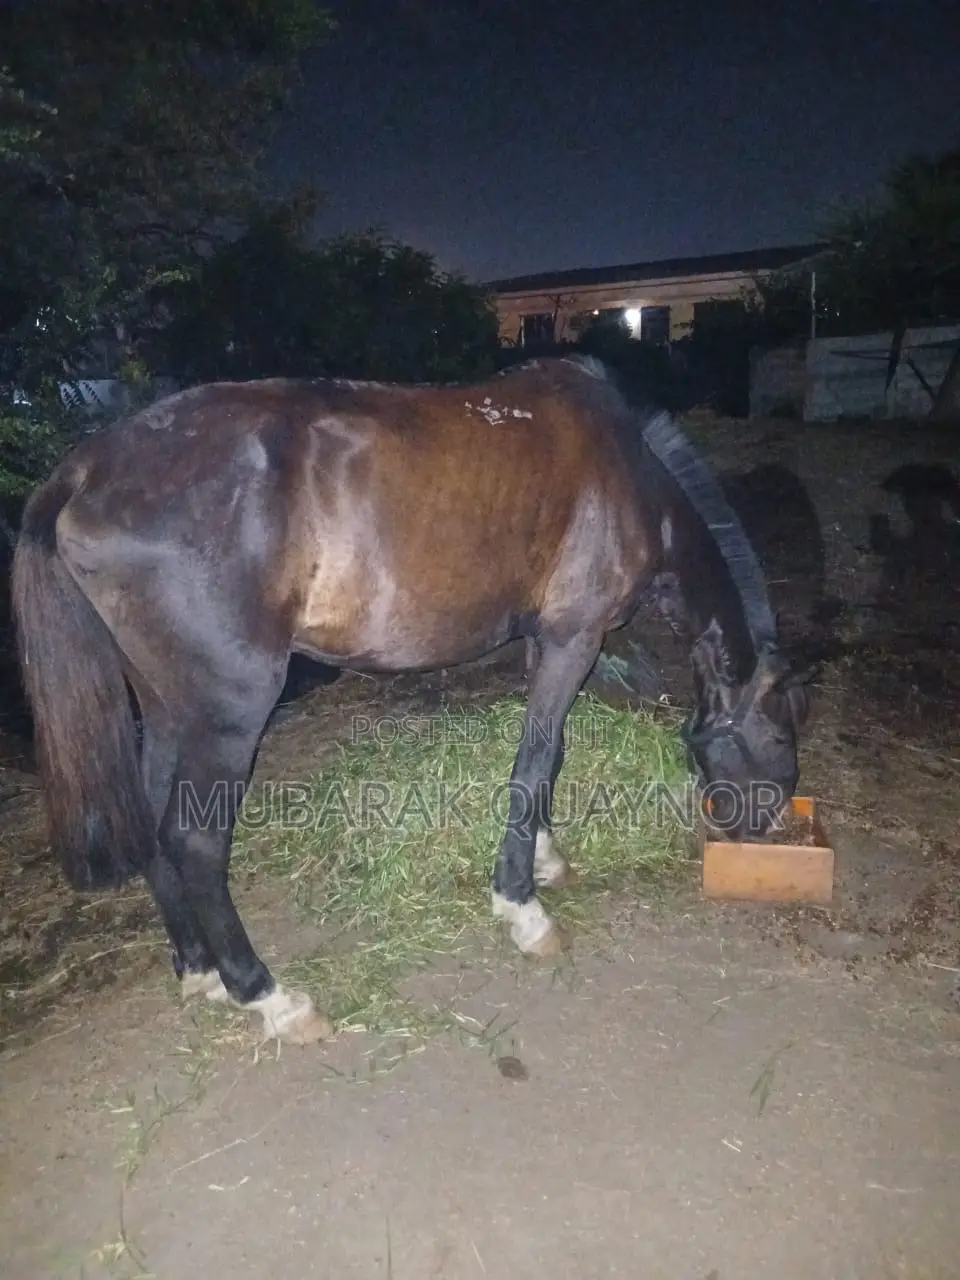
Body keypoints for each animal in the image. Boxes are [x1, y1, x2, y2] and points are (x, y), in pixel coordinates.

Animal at [11, 354, 810, 1046]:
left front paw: (544, 857)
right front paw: (522, 907)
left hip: (164, 702)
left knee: (149, 821)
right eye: (780, 738)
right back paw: (267, 995)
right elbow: (537, 758)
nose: (765, 826)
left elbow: (546, 757)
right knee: (195, 842)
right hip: (228, 709)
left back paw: (198, 968)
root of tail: (84, 470)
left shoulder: (544, 639)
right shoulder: (575, 637)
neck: (634, 470)